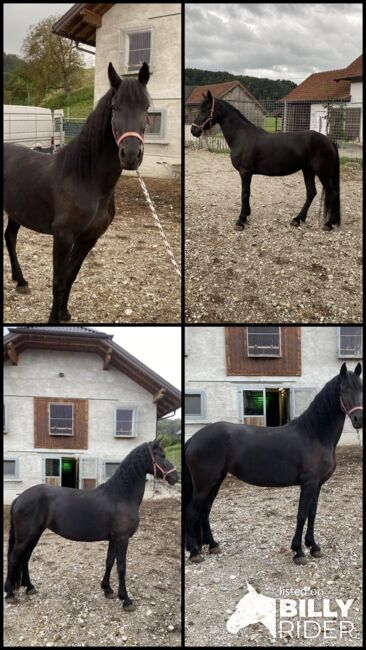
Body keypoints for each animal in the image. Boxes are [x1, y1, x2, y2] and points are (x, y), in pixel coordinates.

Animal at [4, 63, 150, 322]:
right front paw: (53, 319)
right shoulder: (63, 237)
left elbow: (71, 276)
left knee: (10, 238)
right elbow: (58, 280)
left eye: (146, 107)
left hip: (16, 212)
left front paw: (64, 312)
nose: (131, 155)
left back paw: (21, 282)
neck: (85, 179)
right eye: (115, 107)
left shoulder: (89, 239)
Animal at [4, 438, 178, 604]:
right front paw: (125, 599)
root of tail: (20, 498)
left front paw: (107, 589)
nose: (175, 477)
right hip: (26, 536)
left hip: (35, 534)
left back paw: (29, 587)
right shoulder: (122, 538)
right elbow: (121, 566)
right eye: (162, 456)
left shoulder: (114, 539)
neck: (121, 495)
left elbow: (109, 561)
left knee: (25, 558)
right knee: (13, 558)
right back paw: (10, 594)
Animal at [186, 362, 364, 564]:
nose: (359, 419)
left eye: (361, 388)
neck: (314, 434)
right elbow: (301, 514)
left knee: (205, 510)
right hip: (204, 484)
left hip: (216, 480)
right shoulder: (309, 483)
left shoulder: (318, 484)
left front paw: (313, 546)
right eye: (343, 389)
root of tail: (194, 438)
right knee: (192, 512)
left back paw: (213, 545)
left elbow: (312, 513)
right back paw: (194, 552)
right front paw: (298, 551)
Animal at [192, 90, 340, 232]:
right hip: (308, 170)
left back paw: (328, 224)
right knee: (311, 193)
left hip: (322, 173)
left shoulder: (245, 172)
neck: (242, 136)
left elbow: (244, 195)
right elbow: (247, 194)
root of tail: (329, 141)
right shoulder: (247, 173)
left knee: (332, 194)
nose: (193, 130)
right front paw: (246, 215)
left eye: (205, 109)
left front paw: (241, 221)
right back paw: (298, 219)